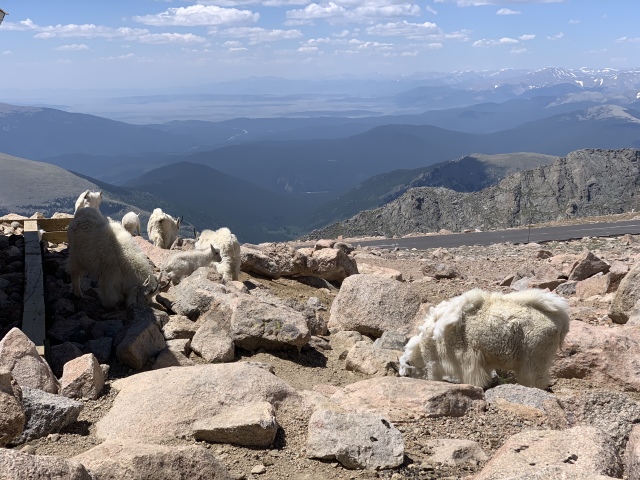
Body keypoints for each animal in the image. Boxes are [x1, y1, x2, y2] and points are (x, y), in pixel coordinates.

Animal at [399, 288, 570, 389]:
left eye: (407, 373)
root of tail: (561, 320)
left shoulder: (468, 359)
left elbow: (474, 377)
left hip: (535, 354)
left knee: (534, 377)